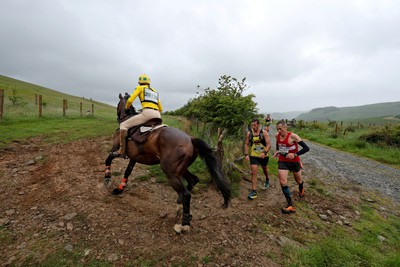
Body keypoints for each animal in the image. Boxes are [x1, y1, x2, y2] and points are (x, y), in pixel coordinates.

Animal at [104, 93, 231, 230]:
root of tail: (190, 139)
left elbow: (108, 159)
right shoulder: (134, 157)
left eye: (118, 104)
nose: (117, 116)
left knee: (186, 194)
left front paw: (107, 178)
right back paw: (180, 203)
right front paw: (120, 189)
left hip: (170, 171)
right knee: (193, 180)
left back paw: (184, 222)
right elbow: (127, 172)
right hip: (180, 170)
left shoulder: (116, 148)